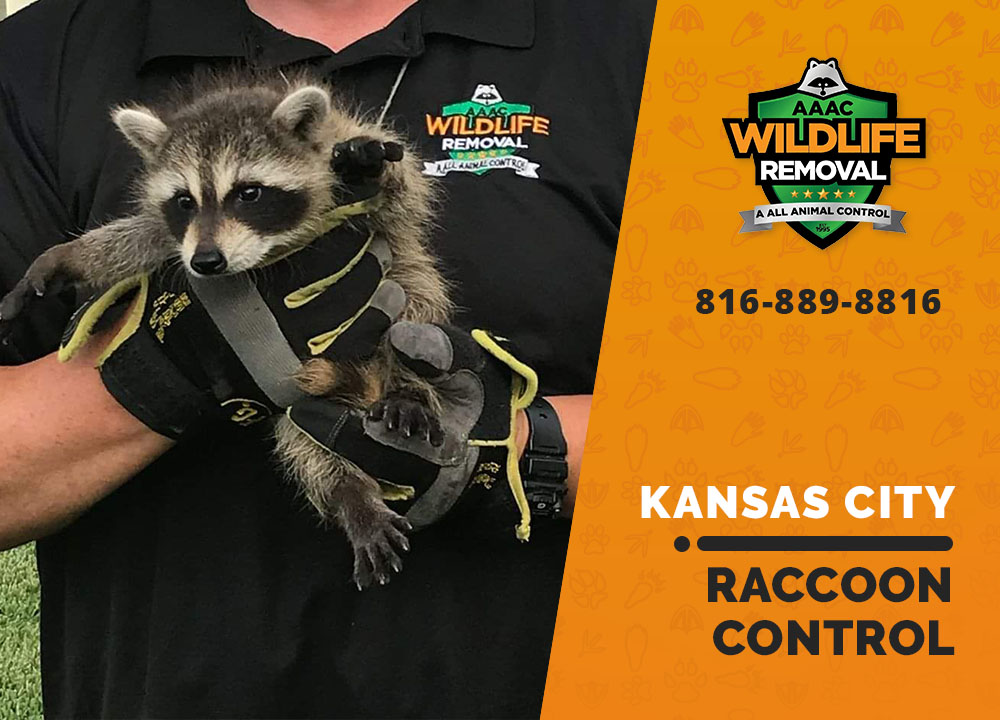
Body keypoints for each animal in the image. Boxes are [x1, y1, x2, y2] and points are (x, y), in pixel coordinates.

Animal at [0, 72, 452, 589]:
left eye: (248, 193)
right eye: (184, 200)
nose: (207, 262)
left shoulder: (354, 183)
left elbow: (405, 195)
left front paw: (370, 167)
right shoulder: (181, 233)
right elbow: (144, 236)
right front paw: (74, 256)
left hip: (406, 295)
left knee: (418, 302)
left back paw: (407, 385)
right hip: (302, 402)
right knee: (307, 443)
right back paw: (349, 494)